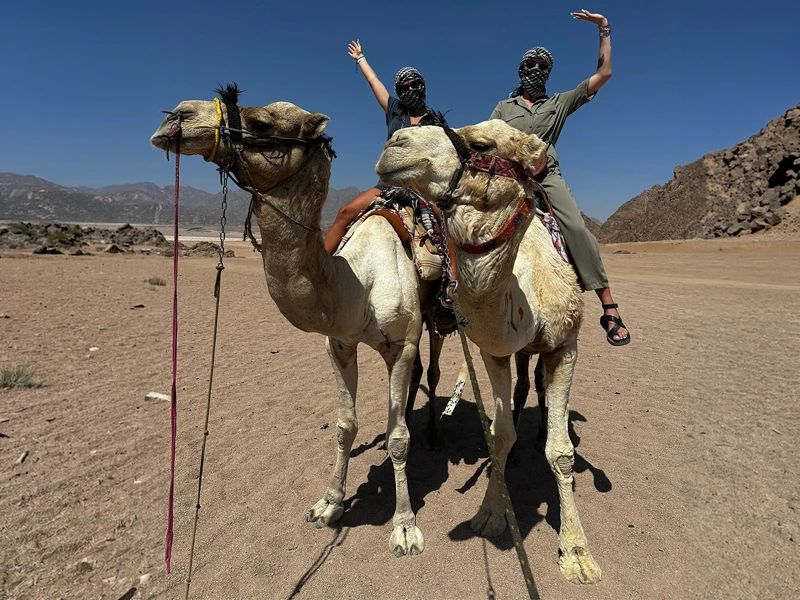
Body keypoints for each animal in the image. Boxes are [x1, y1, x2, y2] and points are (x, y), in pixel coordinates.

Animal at [150, 90, 445, 556]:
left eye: (263, 123)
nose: (177, 117)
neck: (356, 282)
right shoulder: (339, 343)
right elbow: (344, 426)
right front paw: (329, 503)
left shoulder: (399, 343)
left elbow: (399, 438)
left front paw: (403, 526)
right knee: (416, 377)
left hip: (433, 318)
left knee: (431, 370)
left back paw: (432, 432)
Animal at [376, 118, 602, 583]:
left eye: (480, 144)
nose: (396, 144)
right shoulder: (492, 352)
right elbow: (499, 435)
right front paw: (490, 514)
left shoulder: (565, 346)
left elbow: (562, 453)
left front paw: (576, 551)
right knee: (522, 387)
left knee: (537, 389)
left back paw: (539, 432)